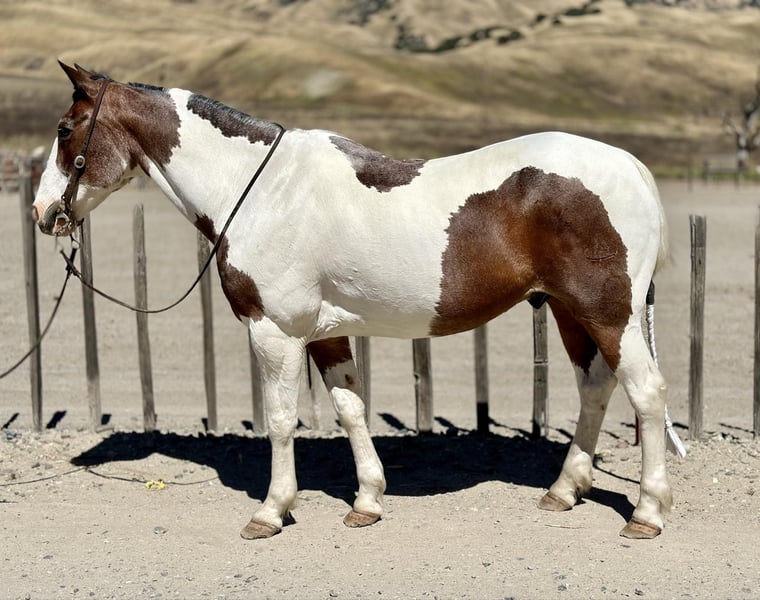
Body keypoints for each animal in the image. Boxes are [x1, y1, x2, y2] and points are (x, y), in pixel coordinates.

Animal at [33, 62, 672, 540]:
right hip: (568, 311)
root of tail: (631, 166)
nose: (42, 212)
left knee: (645, 393)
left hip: (608, 313)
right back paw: (564, 491)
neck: (261, 187)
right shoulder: (326, 333)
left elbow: (281, 420)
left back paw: (646, 512)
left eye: (65, 129)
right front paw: (367, 501)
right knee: (596, 388)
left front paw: (271, 511)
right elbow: (350, 409)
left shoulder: (274, 332)